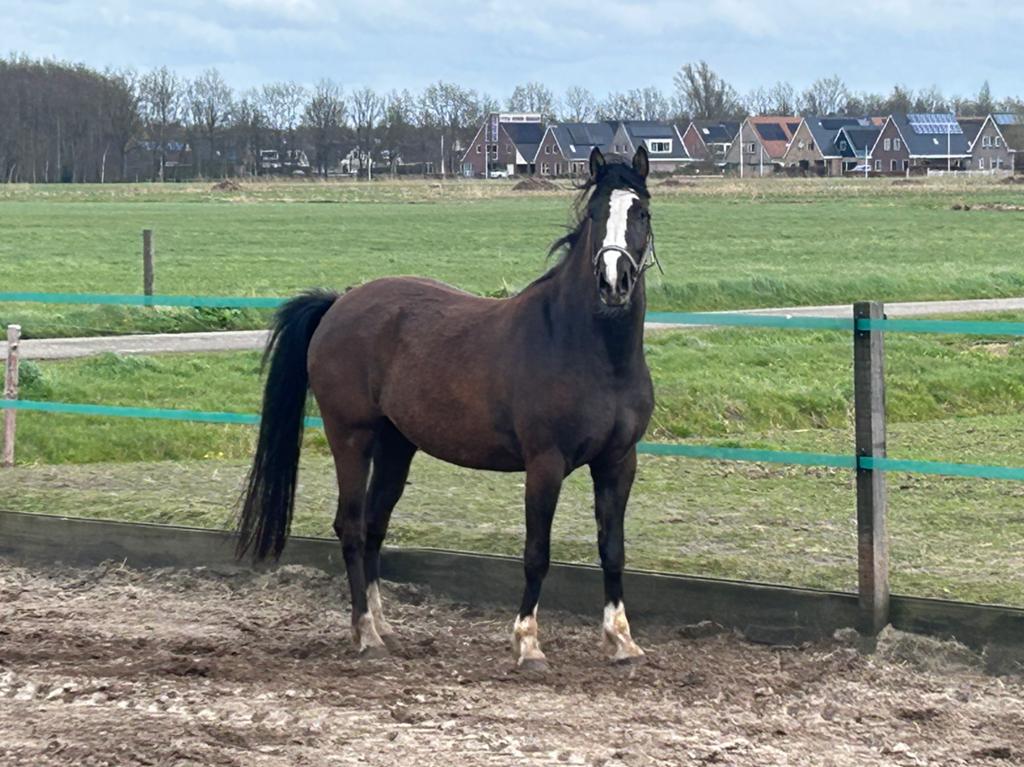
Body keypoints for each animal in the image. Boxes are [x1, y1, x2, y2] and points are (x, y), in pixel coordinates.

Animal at [236, 146, 657, 670]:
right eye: (597, 213)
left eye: (642, 213)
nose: (613, 281)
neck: (591, 349)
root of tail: (339, 304)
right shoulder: (545, 465)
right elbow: (537, 553)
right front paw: (527, 643)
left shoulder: (619, 462)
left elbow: (612, 550)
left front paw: (622, 641)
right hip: (350, 437)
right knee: (351, 527)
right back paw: (365, 635)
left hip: (396, 445)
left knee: (374, 526)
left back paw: (383, 624)